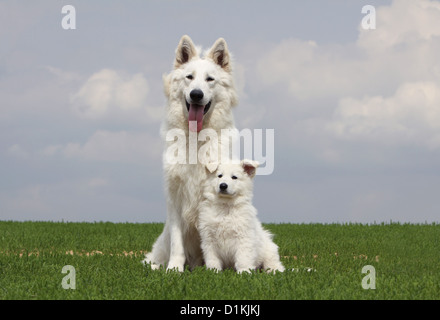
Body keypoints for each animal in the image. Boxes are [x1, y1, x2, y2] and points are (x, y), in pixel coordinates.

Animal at [143, 35, 239, 272]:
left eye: (210, 79)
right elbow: (177, 243)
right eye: (189, 77)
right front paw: (174, 269)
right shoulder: (176, 199)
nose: (196, 94)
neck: (196, 140)